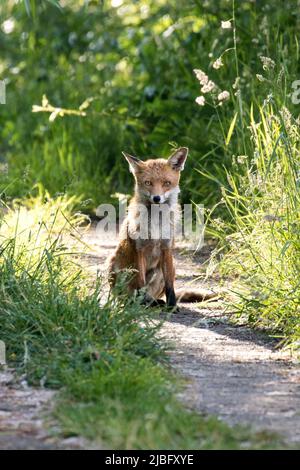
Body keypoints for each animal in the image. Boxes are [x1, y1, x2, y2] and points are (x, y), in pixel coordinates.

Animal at [108, 146, 216, 308]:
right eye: (148, 183)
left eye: (167, 183)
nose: (157, 198)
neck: (156, 224)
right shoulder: (140, 249)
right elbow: (140, 282)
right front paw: (140, 306)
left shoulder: (167, 248)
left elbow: (170, 285)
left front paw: (172, 306)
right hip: (114, 264)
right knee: (128, 295)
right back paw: (137, 303)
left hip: (165, 269)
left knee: (154, 293)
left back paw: (155, 302)